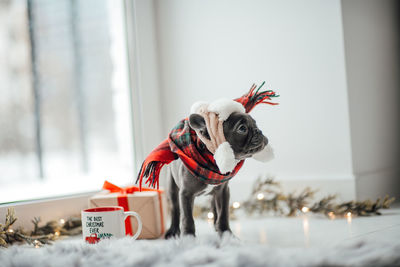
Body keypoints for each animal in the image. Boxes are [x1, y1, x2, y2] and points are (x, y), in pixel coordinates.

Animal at [164, 111, 268, 239]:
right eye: (242, 128)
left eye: (255, 123)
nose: (259, 131)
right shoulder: (186, 194)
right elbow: (187, 218)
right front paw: (188, 237)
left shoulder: (223, 191)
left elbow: (223, 213)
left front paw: (226, 233)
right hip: (172, 187)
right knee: (175, 209)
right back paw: (173, 230)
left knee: (214, 207)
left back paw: (216, 227)